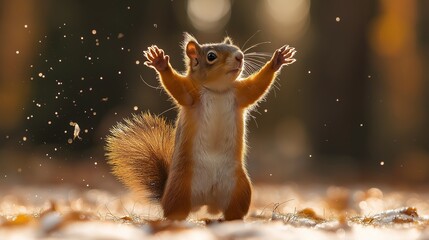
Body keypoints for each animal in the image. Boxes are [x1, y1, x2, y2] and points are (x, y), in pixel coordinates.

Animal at [105, 32, 296, 220]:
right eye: (211, 56)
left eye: (235, 47)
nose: (240, 56)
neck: (217, 90)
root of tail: (206, 202)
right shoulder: (190, 95)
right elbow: (177, 87)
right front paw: (161, 63)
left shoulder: (241, 94)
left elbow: (256, 87)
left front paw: (277, 61)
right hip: (180, 188)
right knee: (176, 212)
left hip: (240, 189)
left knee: (233, 211)